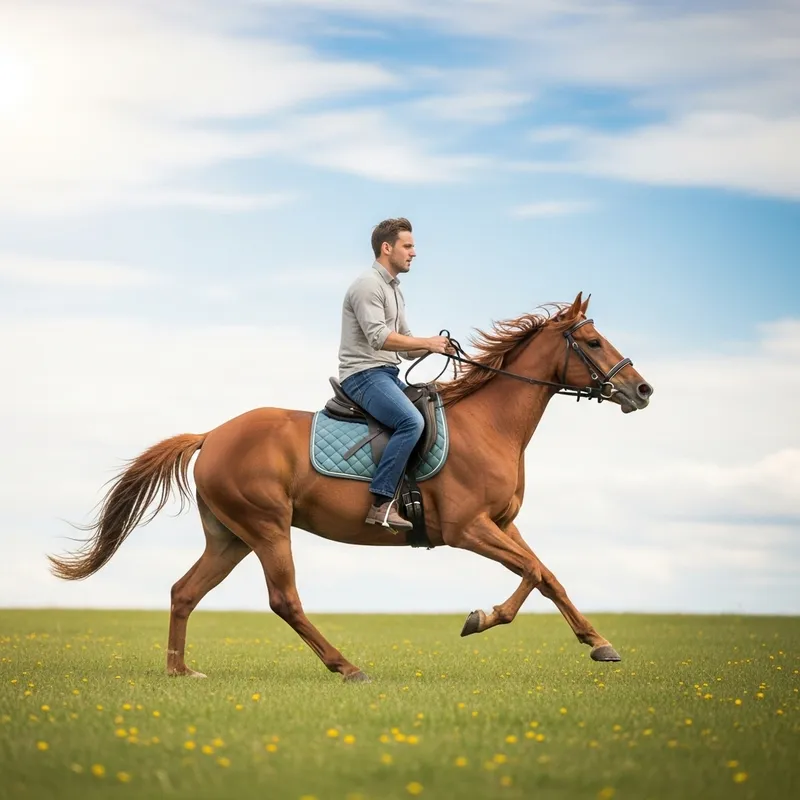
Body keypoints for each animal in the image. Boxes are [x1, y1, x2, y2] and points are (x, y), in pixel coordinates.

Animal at [49, 292, 653, 682]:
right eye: (593, 341)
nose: (642, 389)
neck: (488, 425)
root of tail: (211, 435)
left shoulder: (502, 524)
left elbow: (547, 575)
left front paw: (599, 644)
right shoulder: (467, 529)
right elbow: (532, 572)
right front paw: (481, 619)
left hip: (230, 537)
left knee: (184, 592)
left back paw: (180, 671)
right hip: (267, 529)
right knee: (284, 600)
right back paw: (346, 666)